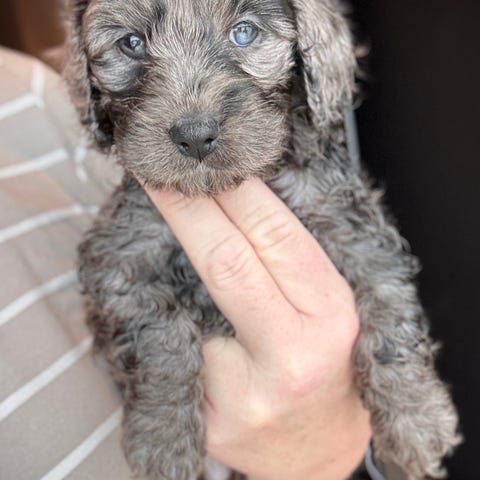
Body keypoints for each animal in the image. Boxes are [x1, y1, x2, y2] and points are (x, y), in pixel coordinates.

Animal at [63, 0, 461, 478]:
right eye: (132, 43)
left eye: (245, 33)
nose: (194, 135)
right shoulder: (117, 260)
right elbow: (159, 335)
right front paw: (163, 440)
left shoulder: (360, 235)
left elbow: (390, 316)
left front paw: (416, 418)